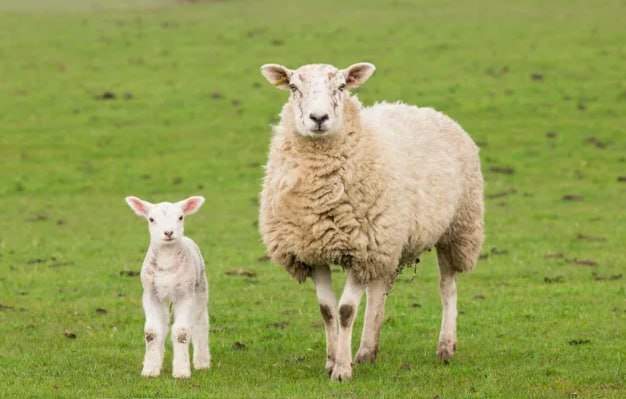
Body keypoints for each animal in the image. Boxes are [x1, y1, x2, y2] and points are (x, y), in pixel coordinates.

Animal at [124, 195, 210, 380]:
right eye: (151, 219)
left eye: (181, 217)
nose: (169, 233)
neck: (167, 259)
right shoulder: (150, 294)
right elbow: (152, 332)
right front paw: (150, 369)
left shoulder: (185, 294)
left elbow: (182, 332)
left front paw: (181, 371)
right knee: (163, 325)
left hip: (200, 287)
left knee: (200, 322)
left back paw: (202, 362)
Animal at [258, 61, 482, 382]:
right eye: (293, 87)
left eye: (341, 86)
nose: (319, 118)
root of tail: (424, 109)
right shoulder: (313, 251)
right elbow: (327, 309)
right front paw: (332, 361)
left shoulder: (361, 249)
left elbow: (345, 311)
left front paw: (341, 370)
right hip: (389, 240)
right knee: (379, 290)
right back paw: (366, 351)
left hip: (457, 228)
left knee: (447, 286)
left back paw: (445, 346)